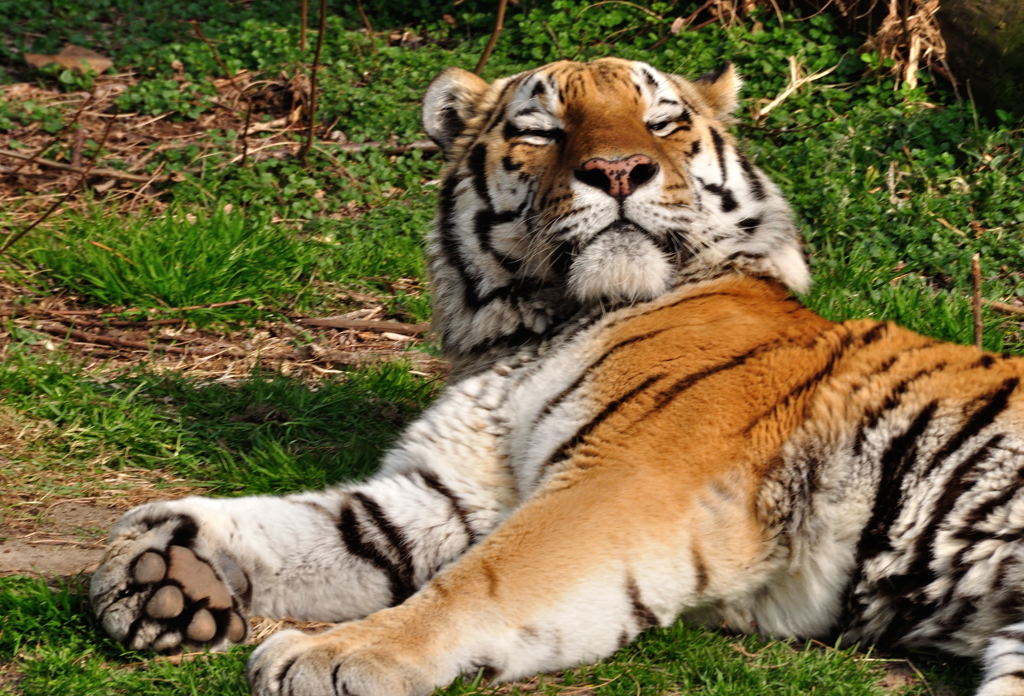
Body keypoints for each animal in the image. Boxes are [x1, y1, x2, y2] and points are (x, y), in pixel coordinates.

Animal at [90, 59, 1024, 696]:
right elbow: (314, 527)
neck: (528, 328)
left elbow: (480, 582)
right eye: (542, 130)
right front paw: (157, 573)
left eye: (663, 122)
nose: (617, 172)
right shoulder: (446, 493)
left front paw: (335, 654)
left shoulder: (625, 482)